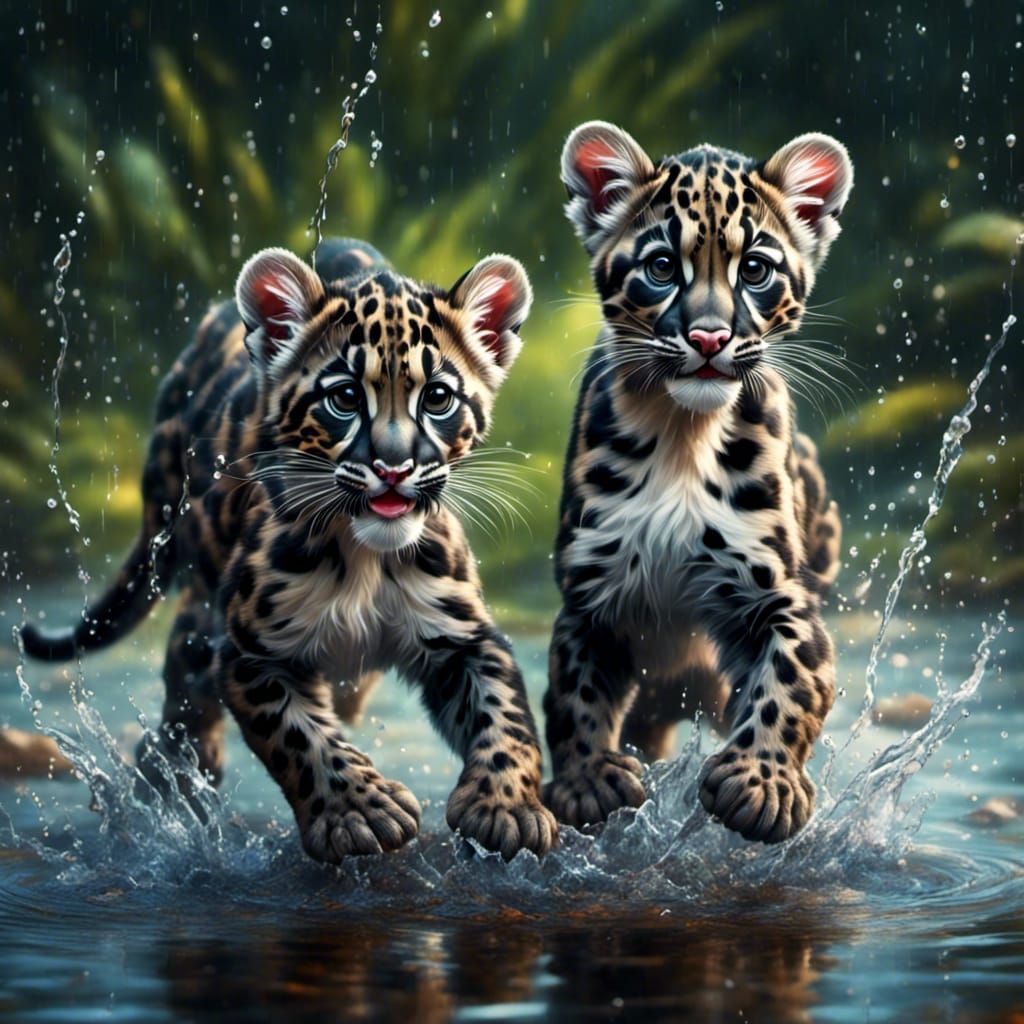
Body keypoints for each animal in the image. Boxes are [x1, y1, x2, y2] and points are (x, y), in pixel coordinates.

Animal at [20, 237, 557, 863]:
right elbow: (300, 735)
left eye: (439, 398)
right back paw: (176, 776)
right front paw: (361, 814)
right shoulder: (250, 650)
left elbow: (507, 718)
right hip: (198, 595)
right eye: (345, 398)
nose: (393, 468)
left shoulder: (464, 636)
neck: (367, 558)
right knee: (184, 679)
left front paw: (507, 808)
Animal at [543, 121, 852, 843]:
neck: (683, 433)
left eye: (755, 270)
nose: (709, 338)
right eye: (661, 268)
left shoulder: (777, 592)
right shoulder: (590, 600)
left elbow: (792, 680)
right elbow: (574, 696)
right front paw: (586, 781)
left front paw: (761, 786)